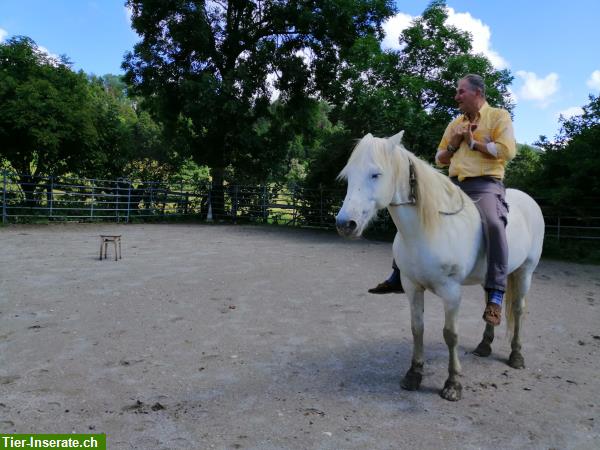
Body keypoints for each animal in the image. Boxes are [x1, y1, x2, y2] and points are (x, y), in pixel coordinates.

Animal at [336, 130, 548, 400]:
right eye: (348, 175)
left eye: (376, 174)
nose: (345, 224)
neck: (429, 229)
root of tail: (529, 201)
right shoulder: (412, 287)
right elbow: (417, 328)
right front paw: (414, 374)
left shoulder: (451, 292)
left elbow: (450, 335)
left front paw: (453, 384)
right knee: (492, 300)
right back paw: (484, 345)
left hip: (525, 272)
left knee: (519, 310)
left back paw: (516, 355)